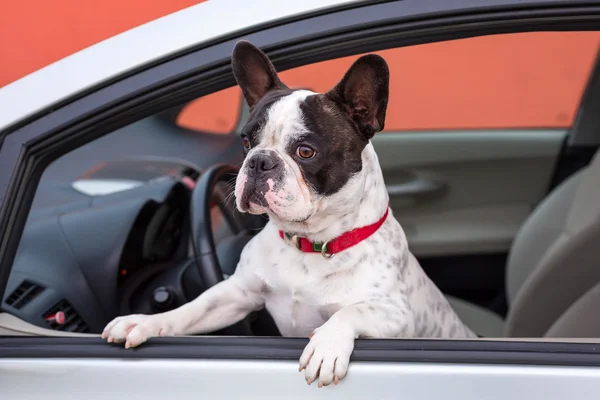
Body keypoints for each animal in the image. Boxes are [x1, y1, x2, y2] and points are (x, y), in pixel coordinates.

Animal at [104, 39, 478, 388]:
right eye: (246, 141)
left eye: (305, 151)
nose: (259, 161)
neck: (310, 242)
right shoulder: (237, 294)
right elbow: (193, 308)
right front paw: (145, 321)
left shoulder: (398, 315)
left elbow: (352, 310)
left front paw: (326, 347)